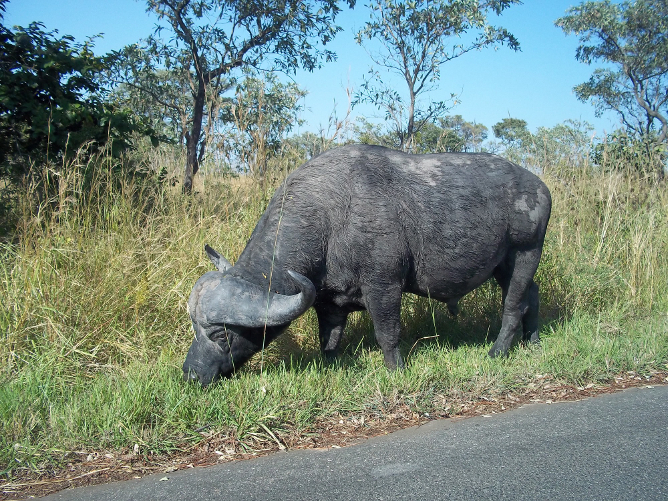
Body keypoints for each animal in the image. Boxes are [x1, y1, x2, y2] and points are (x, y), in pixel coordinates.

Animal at [184, 145, 552, 385]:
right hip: (504, 265)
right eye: (195, 329)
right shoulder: (328, 301)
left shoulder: (383, 285)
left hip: (526, 252)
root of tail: (539, 187)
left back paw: (498, 351)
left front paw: (396, 370)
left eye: (221, 334)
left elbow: (387, 333)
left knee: (513, 305)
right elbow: (329, 339)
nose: (190, 374)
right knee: (531, 295)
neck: (330, 218)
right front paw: (331, 367)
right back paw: (533, 342)